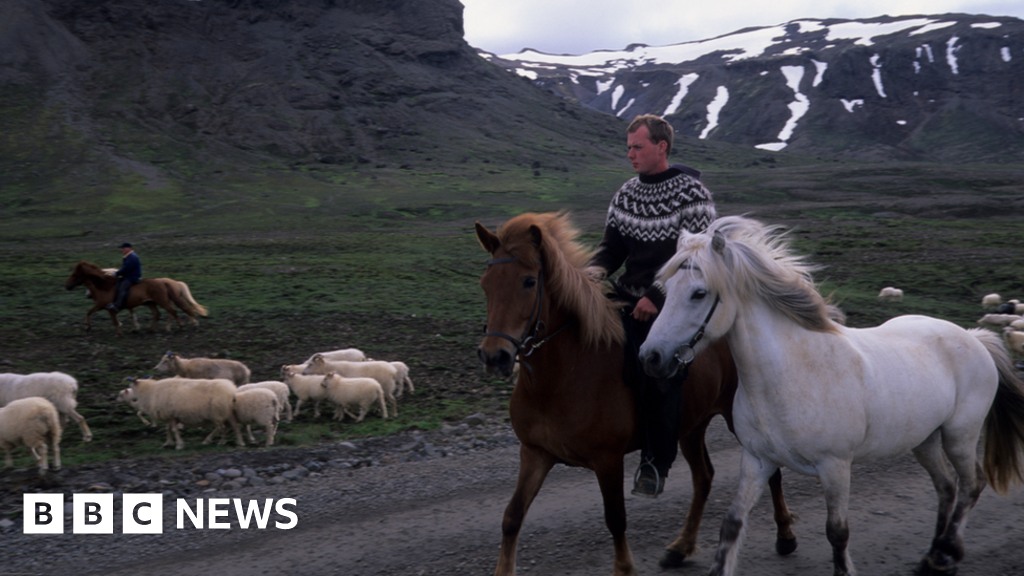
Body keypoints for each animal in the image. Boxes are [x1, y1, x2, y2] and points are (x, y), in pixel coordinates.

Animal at [63, 259, 207, 334]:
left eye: (75, 275)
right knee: (159, 314)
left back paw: (180, 326)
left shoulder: (105, 306)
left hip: (163, 301)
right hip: (151, 303)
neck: (105, 286)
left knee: (173, 312)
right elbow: (90, 312)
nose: (67, 286)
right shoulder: (104, 306)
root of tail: (164, 282)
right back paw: (152, 329)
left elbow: (96, 313)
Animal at [475, 213, 794, 573]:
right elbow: (512, 516)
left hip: (734, 419)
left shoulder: (607, 460)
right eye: (486, 283)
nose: (494, 356)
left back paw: (785, 535)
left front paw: (624, 568)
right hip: (690, 426)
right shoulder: (535, 453)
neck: (561, 378)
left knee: (772, 472)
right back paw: (680, 547)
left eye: (529, 282)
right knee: (704, 477)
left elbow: (615, 519)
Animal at [638, 214, 1024, 573]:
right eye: (665, 288)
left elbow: (837, 533)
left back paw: (946, 553)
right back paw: (929, 558)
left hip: (959, 435)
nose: (650, 357)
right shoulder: (757, 460)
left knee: (971, 485)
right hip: (924, 439)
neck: (788, 376)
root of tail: (974, 338)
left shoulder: (835, 467)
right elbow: (731, 524)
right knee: (946, 487)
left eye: (698, 293)